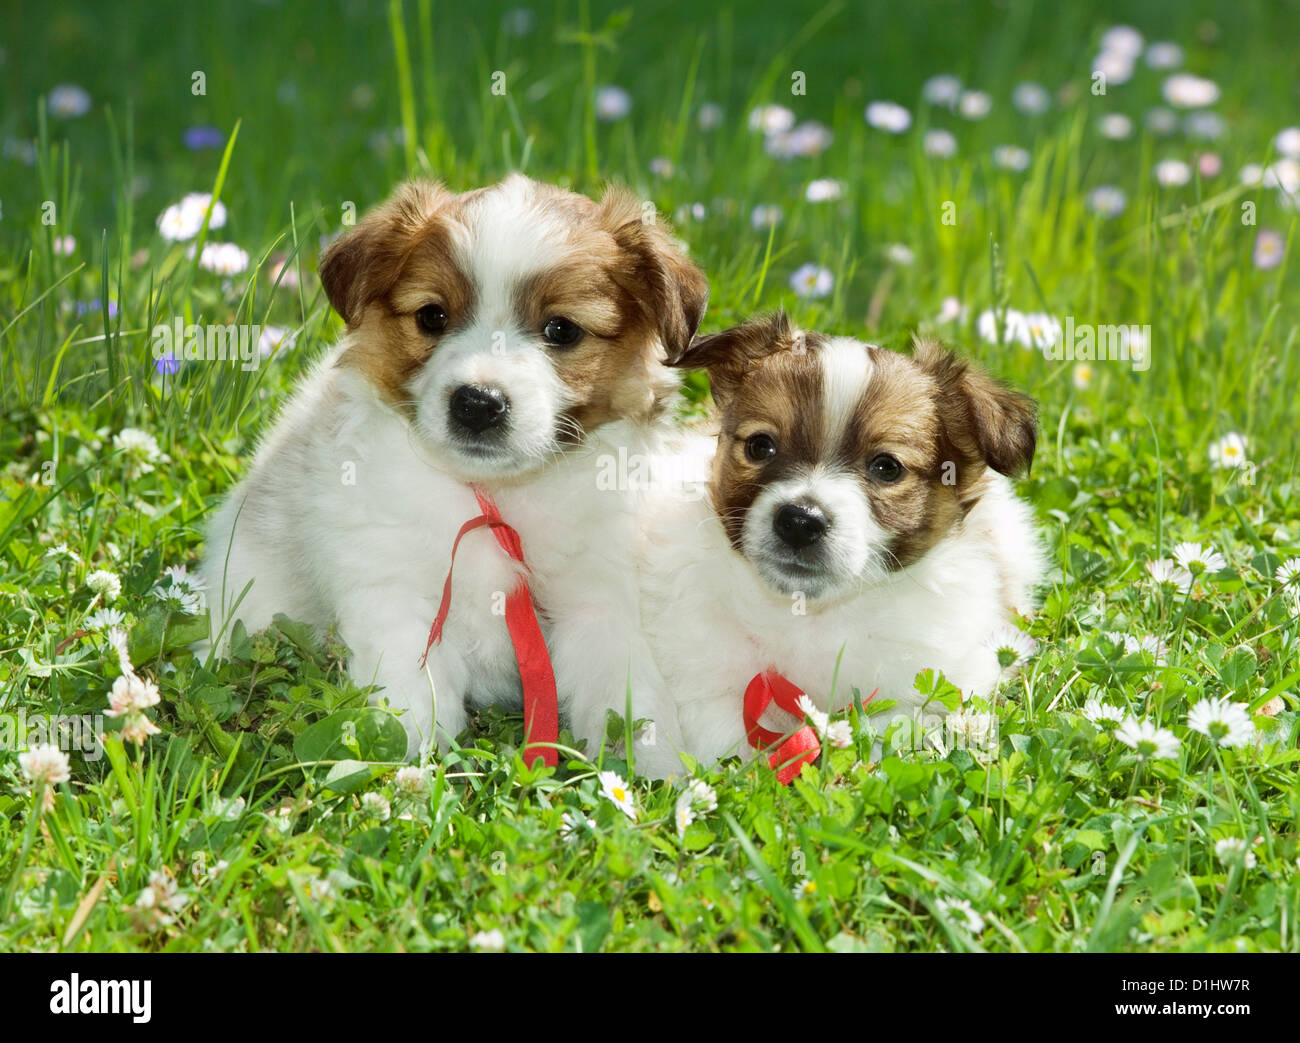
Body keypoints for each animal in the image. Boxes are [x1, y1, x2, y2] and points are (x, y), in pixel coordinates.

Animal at [202, 172, 707, 769]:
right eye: (432, 316)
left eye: (561, 330)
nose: (478, 403)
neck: (493, 496)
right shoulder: (395, 593)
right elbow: (409, 699)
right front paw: (399, 769)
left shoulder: (599, 603)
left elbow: (627, 698)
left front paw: (654, 775)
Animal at [639, 313, 1045, 769]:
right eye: (760, 446)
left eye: (887, 467)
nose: (800, 521)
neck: (806, 615)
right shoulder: (709, 688)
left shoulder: (933, 687)